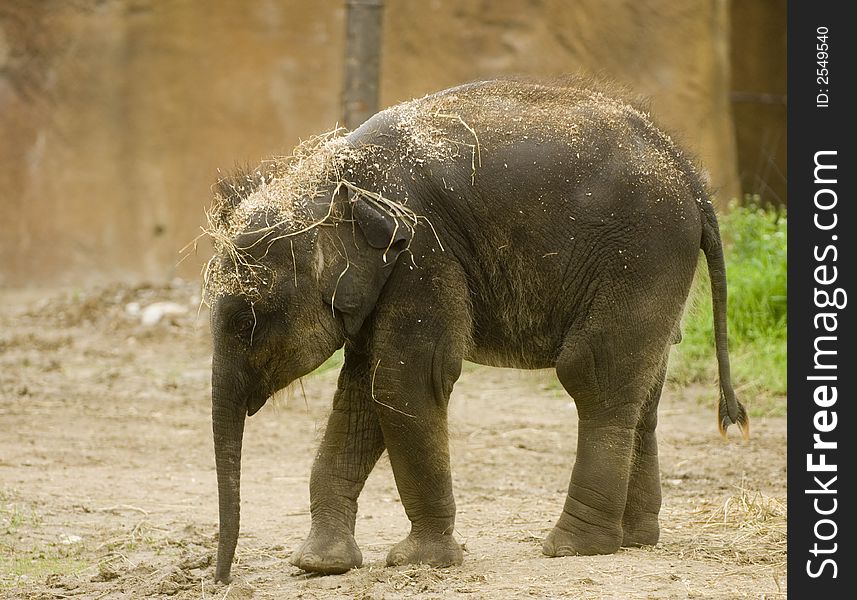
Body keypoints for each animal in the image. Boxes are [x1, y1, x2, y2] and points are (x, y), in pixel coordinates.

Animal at [204, 77, 744, 584]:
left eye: (248, 320)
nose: (221, 577)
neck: (333, 178)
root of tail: (691, 176)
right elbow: (362, 391)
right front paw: (319, 565)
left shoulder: (424, 255)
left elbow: (405, 381)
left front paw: (419, 562)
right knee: (643, 391)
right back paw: (634, 539)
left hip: (639, 256)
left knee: (594, 374)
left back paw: (573, 548)